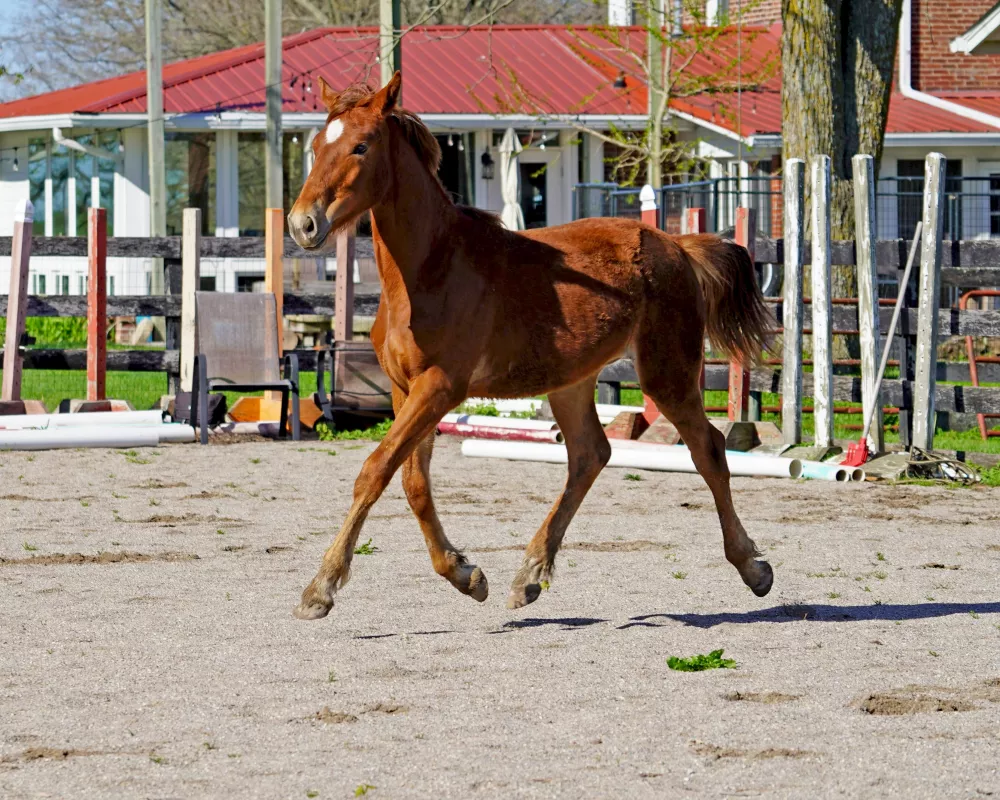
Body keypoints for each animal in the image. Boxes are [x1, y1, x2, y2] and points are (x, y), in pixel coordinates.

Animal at [290, 73, 772, 620]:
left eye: (361, 146)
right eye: (315, 146)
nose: (303, 223)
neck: (431, 268)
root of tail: (679, 247)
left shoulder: (440, 387)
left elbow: (375, 471)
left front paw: (321, 587)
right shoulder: (403, 389)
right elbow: (412, 482)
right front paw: (466, 575)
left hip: (667, 373)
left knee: (707, 448)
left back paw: (753, 567)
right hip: (571, 381)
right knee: (590, 454)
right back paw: (530, 575)